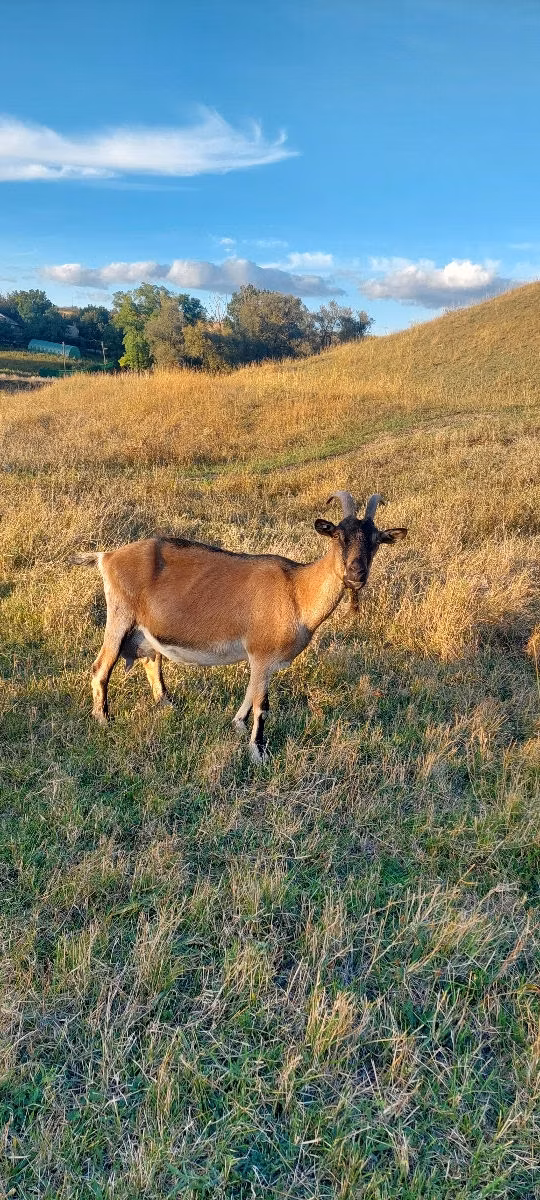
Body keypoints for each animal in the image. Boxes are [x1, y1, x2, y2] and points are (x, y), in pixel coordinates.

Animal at [74, 491, 407, 762]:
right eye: (338, 536)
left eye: (376, 541)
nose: (356, 574)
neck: (296, 590)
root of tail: (107, 557)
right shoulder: (261, 653)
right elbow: (262, 704)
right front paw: (258, 752)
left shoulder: (262, 661)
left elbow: (251, 693)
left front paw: (237, 725)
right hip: (120, 617)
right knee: (101, 667)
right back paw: (104, 719)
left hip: (145, 630)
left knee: (152, 662)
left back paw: (168, 705)